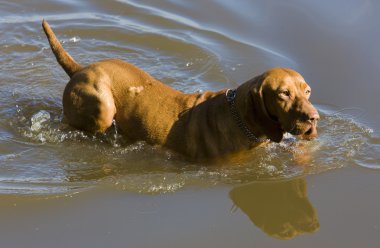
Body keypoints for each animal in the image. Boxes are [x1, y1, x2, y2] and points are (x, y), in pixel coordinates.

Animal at [41, 20, 320, 162]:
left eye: (307, 92)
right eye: (283, 93)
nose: (314, 118)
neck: (239, 117)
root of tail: (79, 68)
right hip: (102, 108)